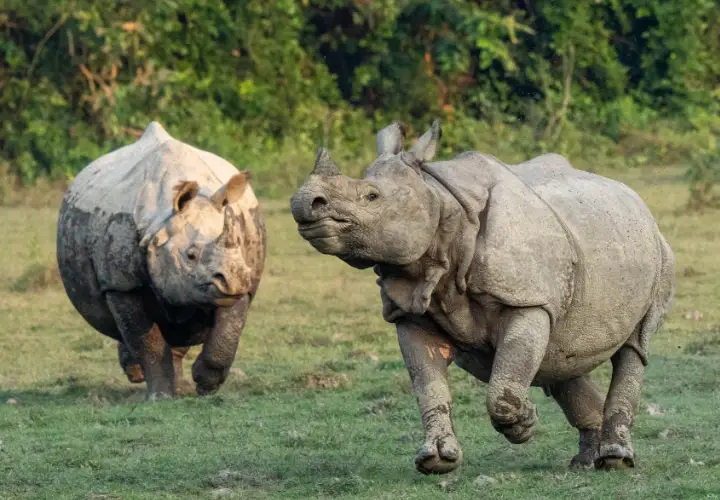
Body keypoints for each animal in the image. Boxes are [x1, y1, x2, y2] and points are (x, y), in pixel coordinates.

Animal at [57, 122, 266, 399]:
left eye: (238, 246)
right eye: (190, 255)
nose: (233, 280)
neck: (161, 220)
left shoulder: (240, 277)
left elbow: (228, 330)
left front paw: (205, 384)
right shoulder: (120, 284)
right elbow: (146, 341)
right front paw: (160, 396)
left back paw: (178, 385)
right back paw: (140, 375)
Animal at [290, 120, 675, 473]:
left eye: (371, 197)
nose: (304, 203)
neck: (441, 206)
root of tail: (633, 196)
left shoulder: (527, 300)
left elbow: (501, 390)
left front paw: (524, 425)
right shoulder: (411, 312)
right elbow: (428, 386)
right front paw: (437, 460)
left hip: (659, 250)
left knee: (633, 347)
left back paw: (614, 459)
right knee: (563, 355)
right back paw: (584, 462)